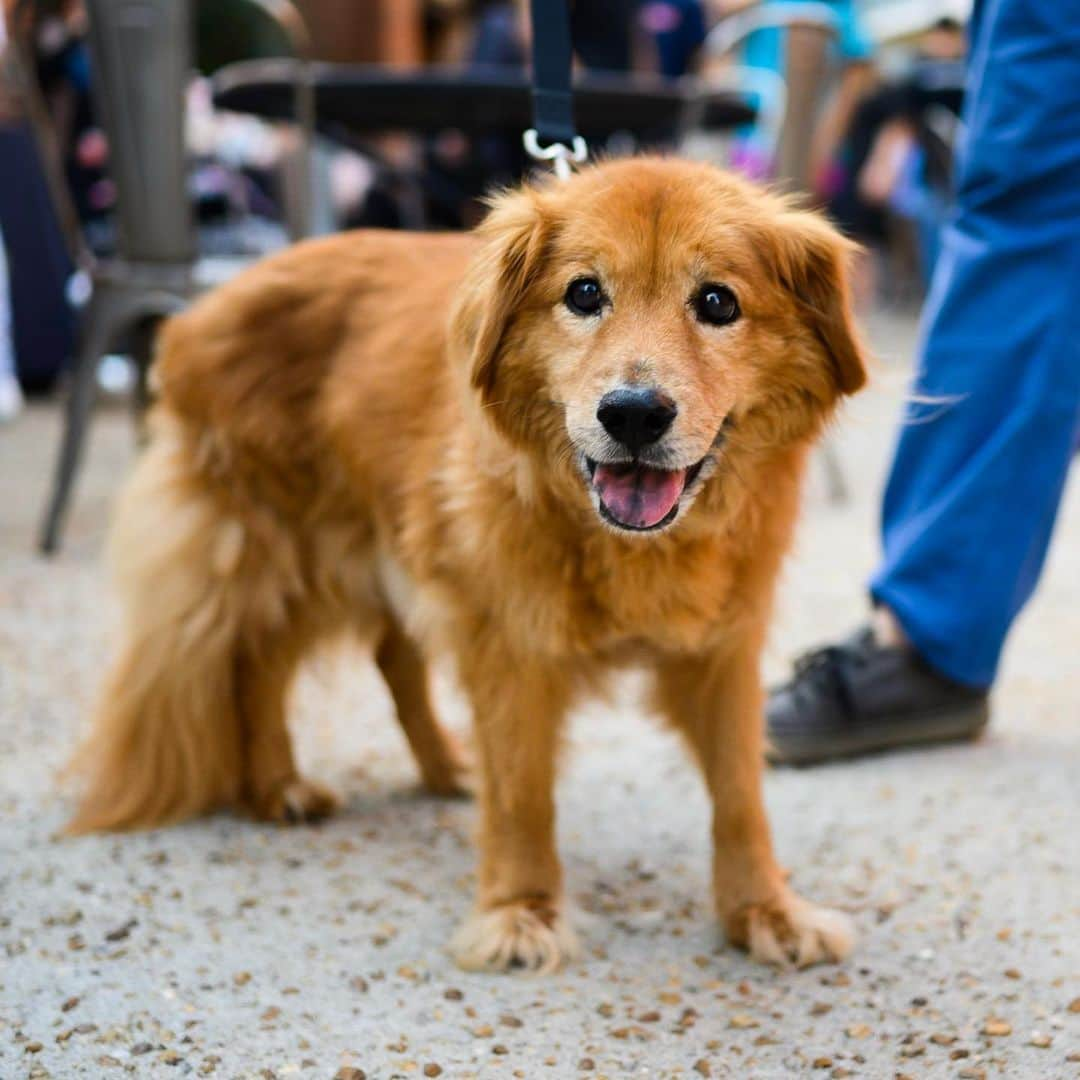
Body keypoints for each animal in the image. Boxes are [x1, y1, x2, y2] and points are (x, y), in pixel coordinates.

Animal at [67, 157, 864, 972]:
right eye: (584, 293)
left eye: (716, 301)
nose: (634, 414)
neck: (625, 543)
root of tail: (195, 313)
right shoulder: (510, 641)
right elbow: (522, 792)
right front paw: (520, 909)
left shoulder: (723, 647)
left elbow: (740, 794)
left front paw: (764, 909)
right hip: (284, 551)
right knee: (255, 662)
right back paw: (277, 783)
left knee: (390, 656)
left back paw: (445, 764)